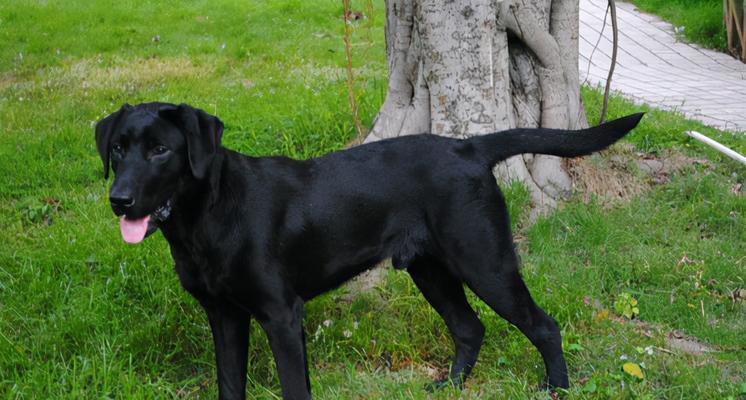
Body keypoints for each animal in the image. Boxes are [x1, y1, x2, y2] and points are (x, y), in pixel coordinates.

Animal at [93, 102, 640, 396]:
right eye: (118, 148)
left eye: (160, 150)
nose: (119, 200)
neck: (206, 217)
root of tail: (468, 147)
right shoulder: (224, 315)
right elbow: (230, 384)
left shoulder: (281, 315)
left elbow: (294, 388)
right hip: (431, 270)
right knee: (470, 329)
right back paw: (450, 388)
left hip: (484, 261)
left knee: (543, 325)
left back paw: (556, 388)